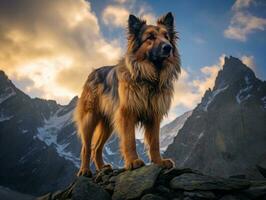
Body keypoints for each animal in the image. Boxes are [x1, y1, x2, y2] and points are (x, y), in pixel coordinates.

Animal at [75, 12, 181, 177]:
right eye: (150, 37)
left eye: (166, 37)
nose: (168, 47)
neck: (149, 78)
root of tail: (93, 72)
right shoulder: (127, 114)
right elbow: (129, 140)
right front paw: (133, 162)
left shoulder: (154, 116)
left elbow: (155, 142)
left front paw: (159, 161)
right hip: (89, 119)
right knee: (86, 147)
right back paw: (85, 170)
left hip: (108, 124)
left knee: (96, 147)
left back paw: (102, 167)